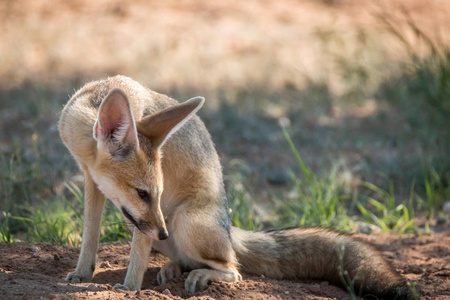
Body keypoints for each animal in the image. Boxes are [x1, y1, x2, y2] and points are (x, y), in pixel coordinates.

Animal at [59, 75, 414, 298]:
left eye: (156, 193)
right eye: (142, 193)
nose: (161, 233)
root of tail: (229, 228)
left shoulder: (144, 224)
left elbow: (135, 253)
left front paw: (130, 288)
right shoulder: (91, 179)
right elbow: (89, 233)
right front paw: (82, 273)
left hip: (184, 222)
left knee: (234, 269)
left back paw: (202, 275)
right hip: (160, 227)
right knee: (195, 260)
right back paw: (174, 269)